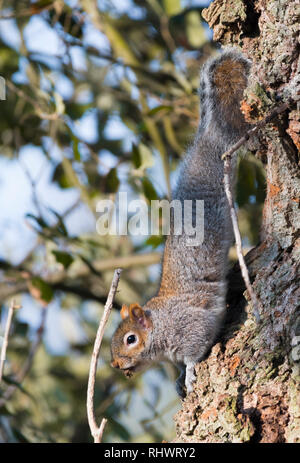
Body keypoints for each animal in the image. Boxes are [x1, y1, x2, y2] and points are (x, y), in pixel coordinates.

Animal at [110, 49, 251, 396]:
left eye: (131, 339)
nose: (116, 365)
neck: (160, 323)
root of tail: (208, 140)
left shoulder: (189, 327)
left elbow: (192, 353)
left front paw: (187, 374)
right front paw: (176, 380)